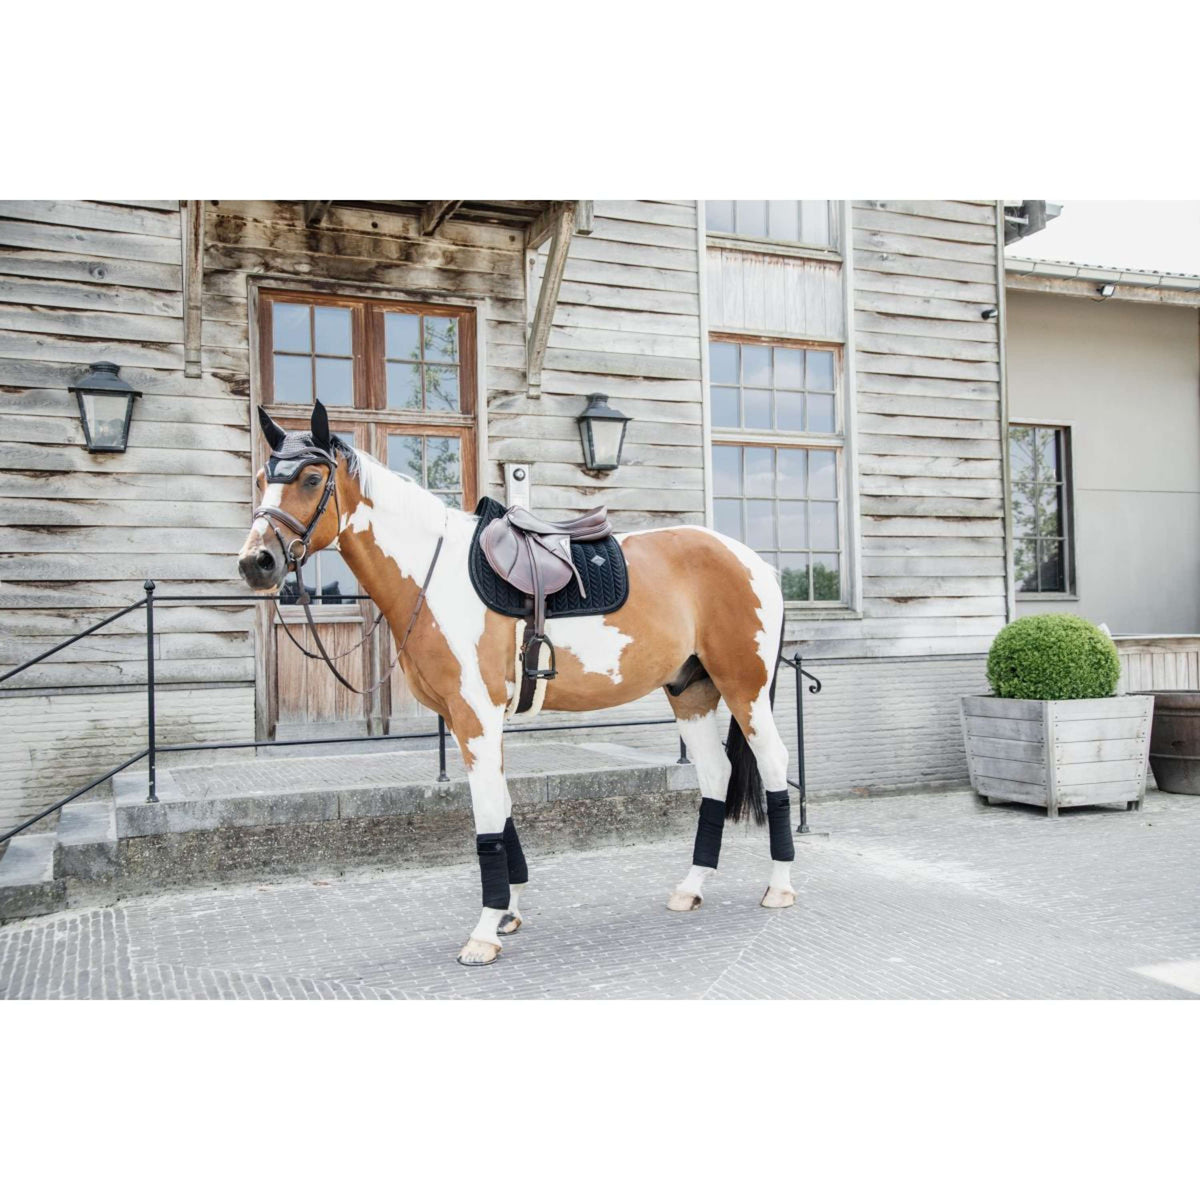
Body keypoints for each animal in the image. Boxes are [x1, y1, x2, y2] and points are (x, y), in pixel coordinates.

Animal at [238, 401, 796, 966]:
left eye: (311, 478)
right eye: (262, 478)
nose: (256, 563)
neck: (434, 578)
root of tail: (757, 564)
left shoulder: (475, 715)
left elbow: (487, 815)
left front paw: (484, 932)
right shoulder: (471, 720)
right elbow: (502, 807)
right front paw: (508, 910)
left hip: (743, 688)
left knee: (772, 764)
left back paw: (779, 886)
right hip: (692, 692)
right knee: (715, 775)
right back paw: (692, 887)